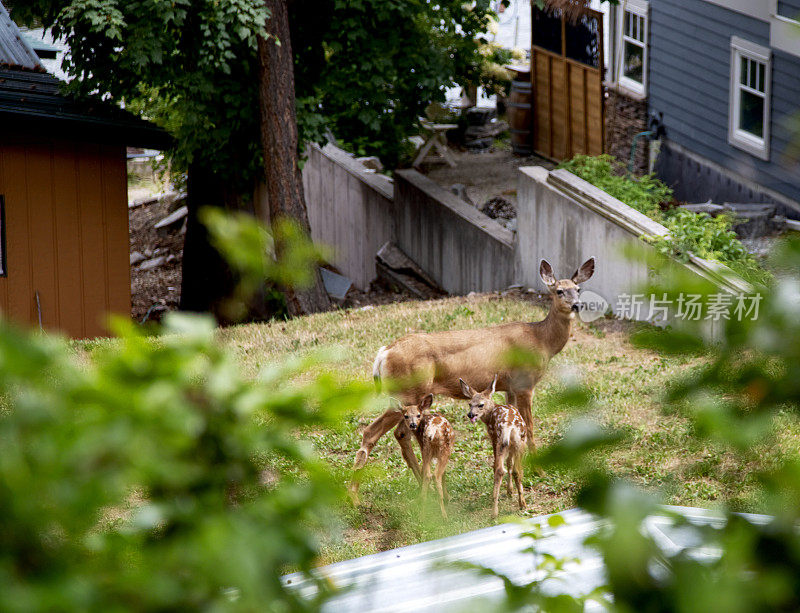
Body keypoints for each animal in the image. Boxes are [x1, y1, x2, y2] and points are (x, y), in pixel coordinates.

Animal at [350, 256, 592, 500]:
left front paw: (511, 484)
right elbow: (530, 428)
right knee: (371, 433)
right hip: (405, 391)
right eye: (559, 290)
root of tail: (384, 353)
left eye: (578, 289)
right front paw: (539, 470)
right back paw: (354, 497)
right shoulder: (525, 382)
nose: (577, 305)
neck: (542, 340)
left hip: (409, 396)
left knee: (401, 433)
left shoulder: (509, 387)